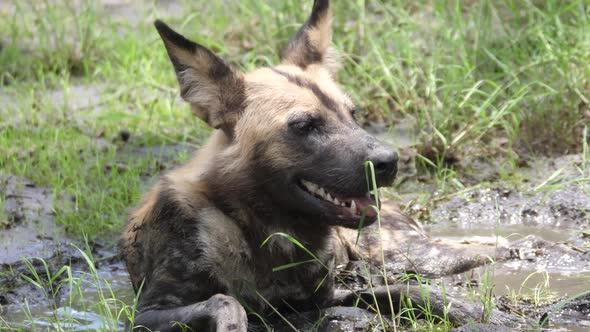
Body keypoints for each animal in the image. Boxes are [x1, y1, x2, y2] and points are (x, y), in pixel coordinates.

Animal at [122, 1, 524, 330]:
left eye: (353, 114)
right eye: (304, 126)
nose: (389, 161)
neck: (267, 230)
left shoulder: (327, 297)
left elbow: (402, 292)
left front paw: (469, 311)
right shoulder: (147, 313)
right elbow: (226, 302)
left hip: (405, 255)